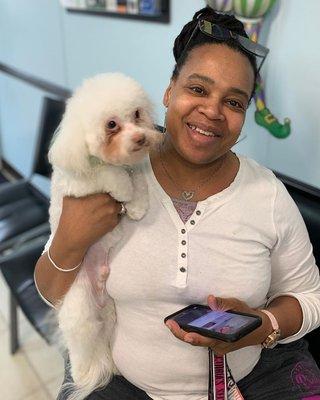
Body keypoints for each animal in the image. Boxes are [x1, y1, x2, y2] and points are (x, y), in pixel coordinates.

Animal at [48, 72, 160, 400]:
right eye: (111, 125)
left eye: (137, 114)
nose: (141, 139)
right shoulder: (79, 184)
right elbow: (113, 176)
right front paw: (125, 191)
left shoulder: (135, 167)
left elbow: (137, 176)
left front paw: (137, 205)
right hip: (80, 311)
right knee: (82, 345)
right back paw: (85, 373)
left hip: (110, 313)